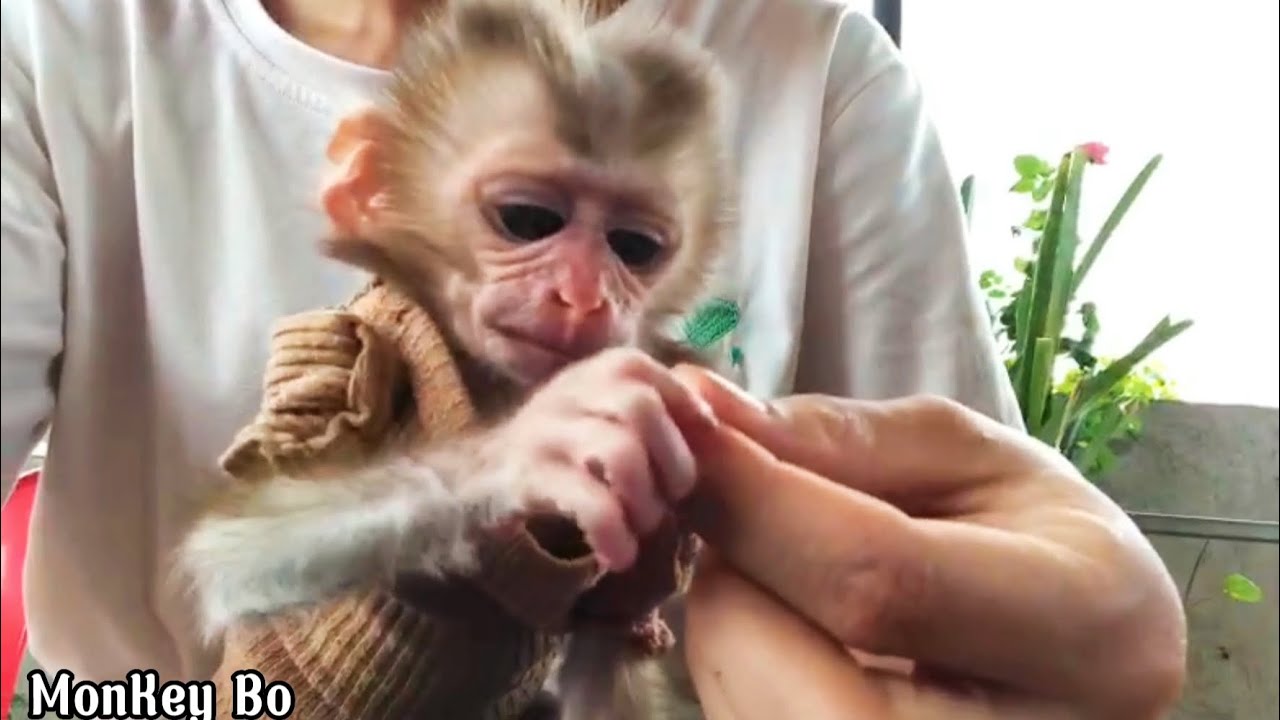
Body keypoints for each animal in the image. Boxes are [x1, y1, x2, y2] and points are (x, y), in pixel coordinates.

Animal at [177, 1, 734, 718]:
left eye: (633, 246)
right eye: (528, 219)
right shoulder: (341, 355)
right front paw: (525, 447)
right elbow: (226, 558)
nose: (584, 296)